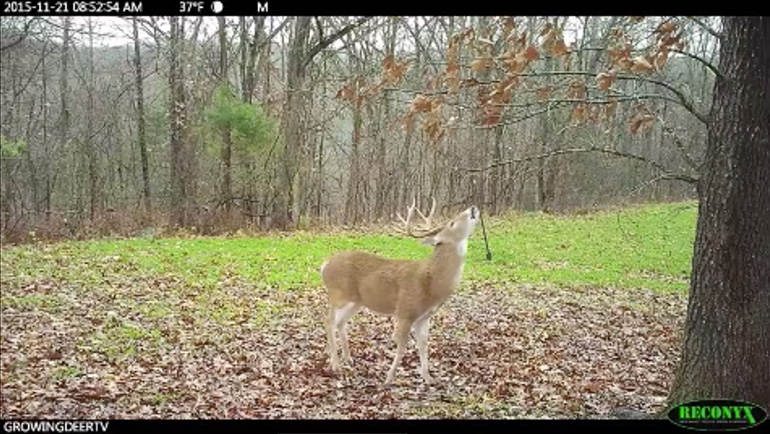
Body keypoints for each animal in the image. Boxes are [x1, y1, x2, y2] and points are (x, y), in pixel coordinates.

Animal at [316, 198, 474, 384]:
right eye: (452, 223)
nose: (473, 209)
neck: (432, 282)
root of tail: (324, 265)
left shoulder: (424, 317)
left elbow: (424, 345)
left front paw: (428, 378)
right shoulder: (405, 311)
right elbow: (401, 346)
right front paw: (389, 378)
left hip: (356, 302)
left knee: (340, 322)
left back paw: (348, 359)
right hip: (338, 295)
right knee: (328, 320)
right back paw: (335, 365)